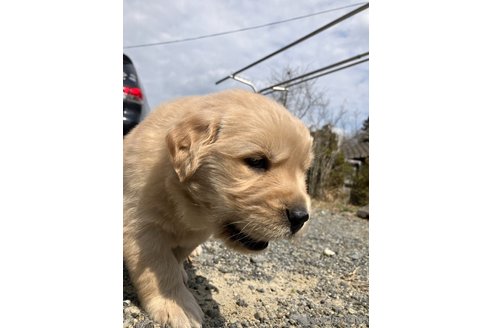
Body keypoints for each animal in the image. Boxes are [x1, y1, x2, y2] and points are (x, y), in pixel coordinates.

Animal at [125, 88, 314, 326]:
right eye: (256, 161)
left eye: (304, 171)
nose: (301, 217)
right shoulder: (141, 226)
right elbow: (160, 266)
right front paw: (174, 304)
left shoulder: (197, 233)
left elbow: (178, 255)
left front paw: (181, 274)